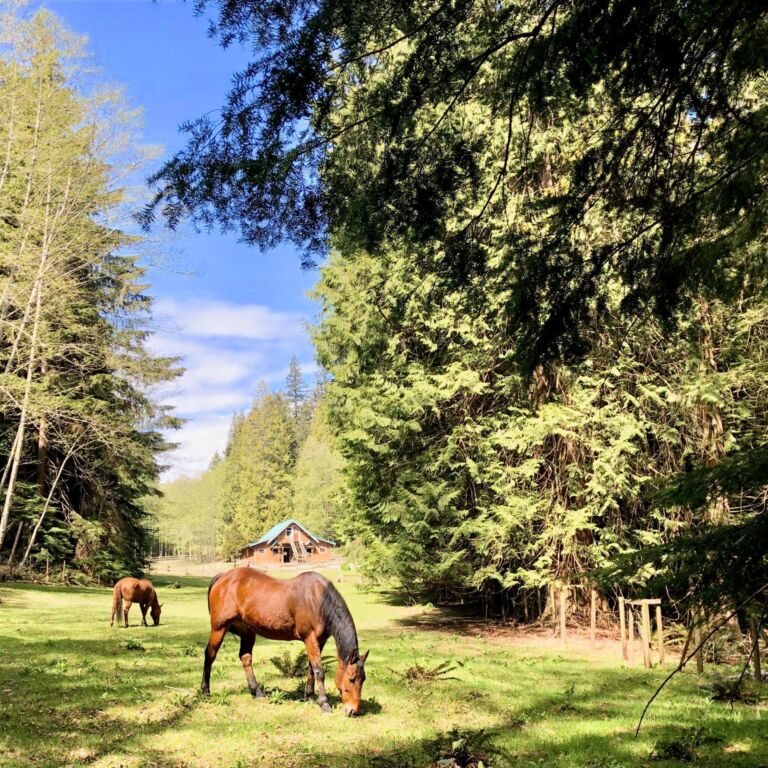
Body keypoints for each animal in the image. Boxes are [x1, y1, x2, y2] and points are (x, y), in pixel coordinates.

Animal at [203, 568, 369, 716]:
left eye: (363, 679)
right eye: (351, 679)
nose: (353, 711)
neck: (319, 600)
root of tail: (223, 576)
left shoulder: (319, 641)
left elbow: (311, 668)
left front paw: (309, 696)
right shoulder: (310, 638)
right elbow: (319, 671)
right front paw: (324, 704)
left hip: (247, 631)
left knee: (245, 658)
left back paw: (257, 692)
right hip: (219, 628)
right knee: (210, 655)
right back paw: (205, 691)